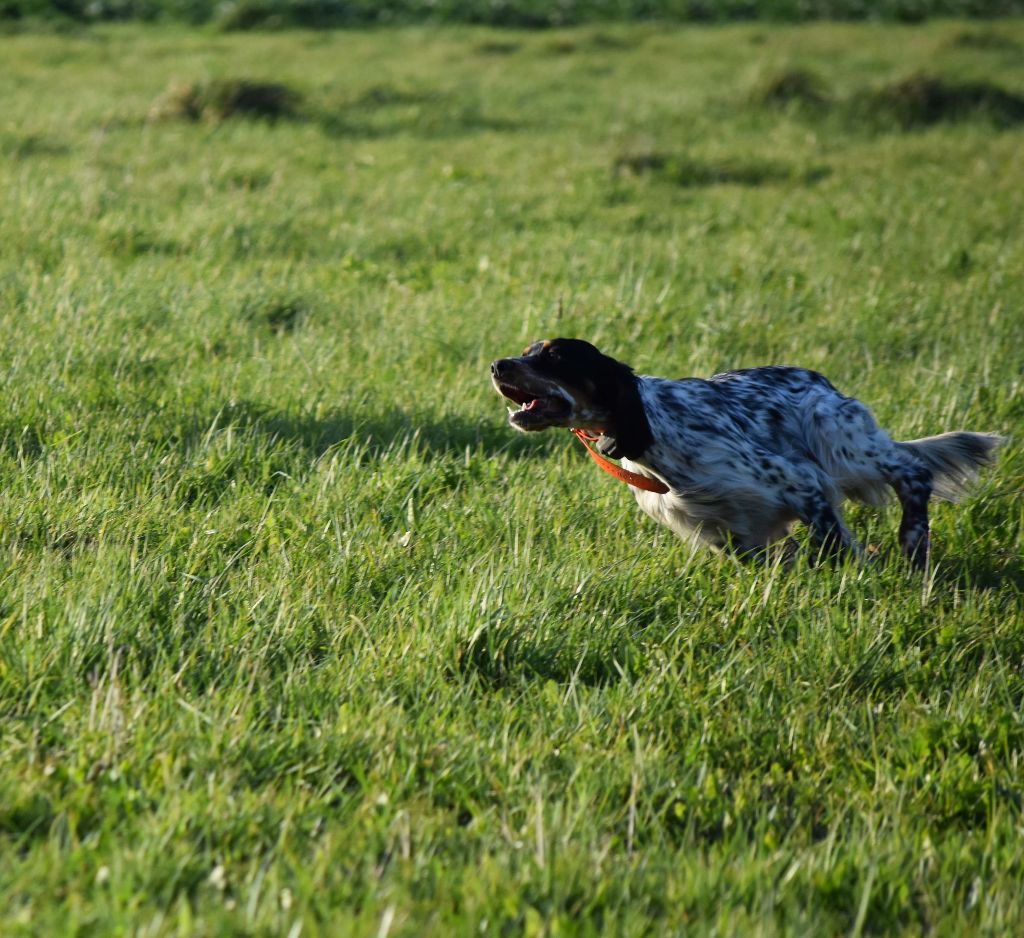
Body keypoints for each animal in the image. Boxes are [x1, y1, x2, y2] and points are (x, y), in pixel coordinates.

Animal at [491, 339, 1003, 569]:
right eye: (526, 350)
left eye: (554, 356)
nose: (497, 364)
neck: (655, 430)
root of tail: (826, 384)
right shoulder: (723, 528)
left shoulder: (800, 480)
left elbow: (833, 542)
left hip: (839, 438)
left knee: (913, 470)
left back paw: (913, 543)